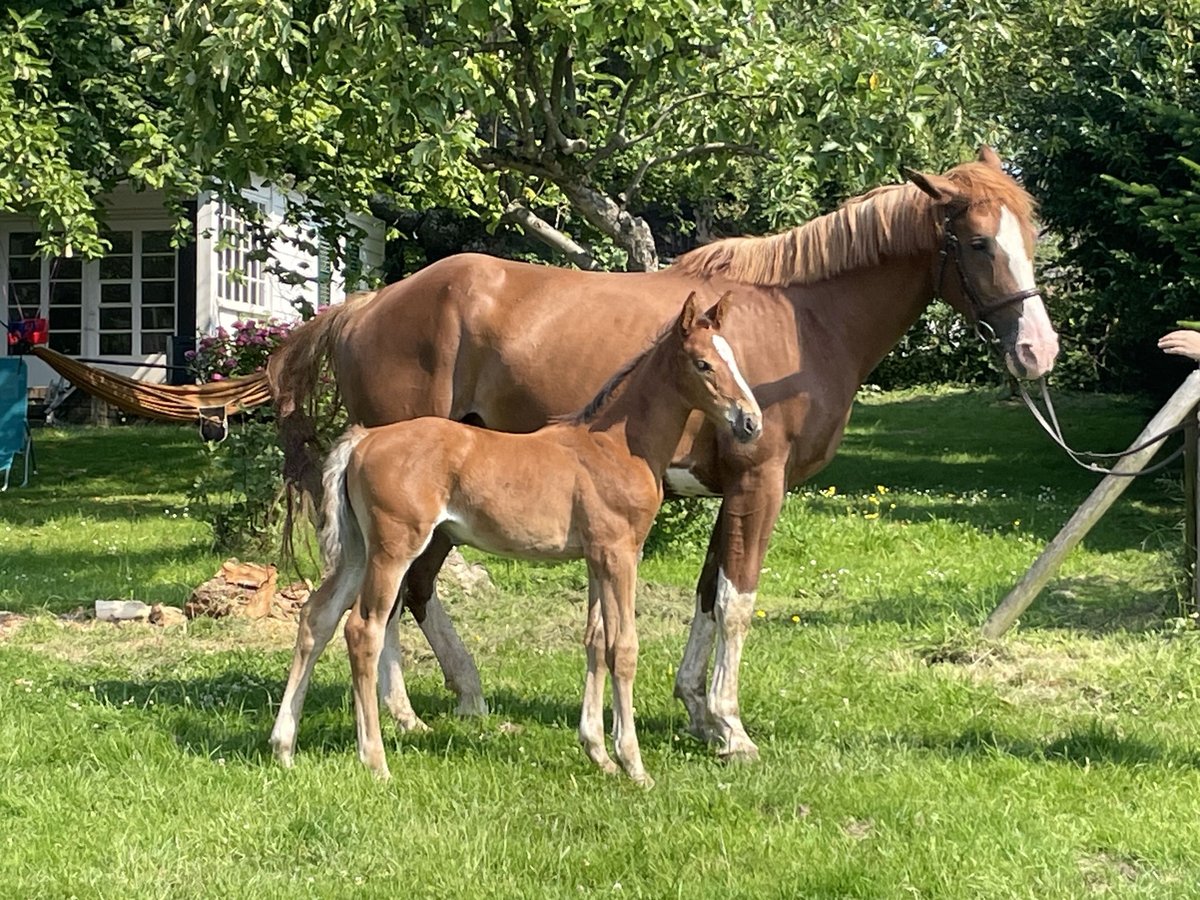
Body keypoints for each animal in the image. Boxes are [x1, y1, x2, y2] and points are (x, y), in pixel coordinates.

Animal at [271, 292, 758, 787]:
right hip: (393, 549)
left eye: (734, 358)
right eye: (703, 363)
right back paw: (375, 759)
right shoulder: (620, 553)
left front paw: (598, 754)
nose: (750, 421)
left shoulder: (596, 556)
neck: (616, 446)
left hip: (356, 551)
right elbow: (622, 648)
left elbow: (595, 641)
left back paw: (284, 746)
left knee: (317, 617)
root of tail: (363, 439)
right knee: (363, 629)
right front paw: (634, 765)